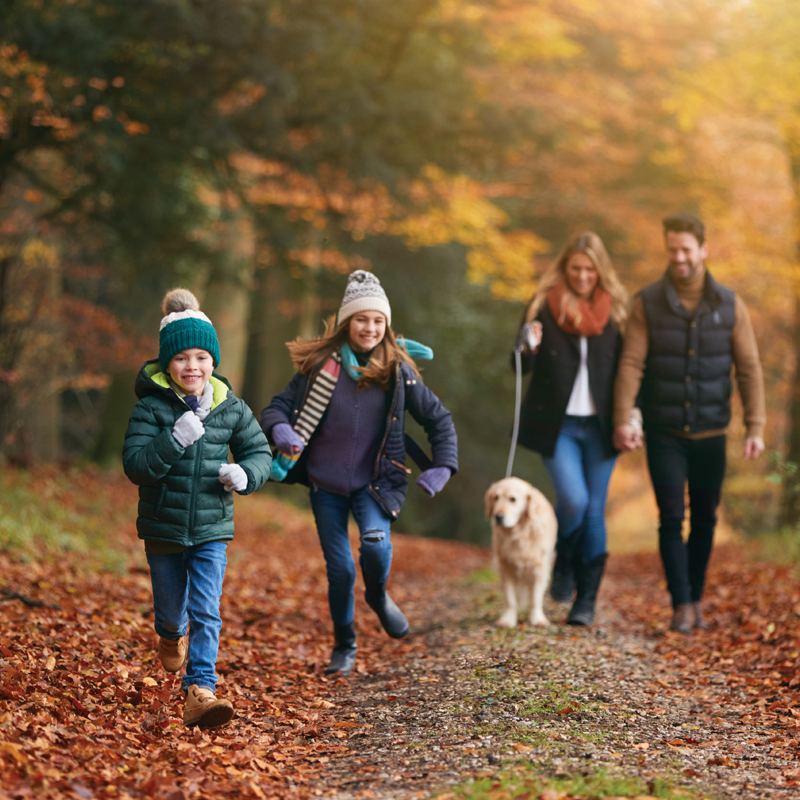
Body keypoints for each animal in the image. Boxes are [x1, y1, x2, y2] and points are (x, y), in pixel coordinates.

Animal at [488, 478, 556, 628]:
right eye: (496, 497)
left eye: (513, 499)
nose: (498, 516)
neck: (518, 534)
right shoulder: (506, 568)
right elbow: (511, 599)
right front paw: (508, 619)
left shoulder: (540, 569)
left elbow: (535, 598)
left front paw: (537, 619)